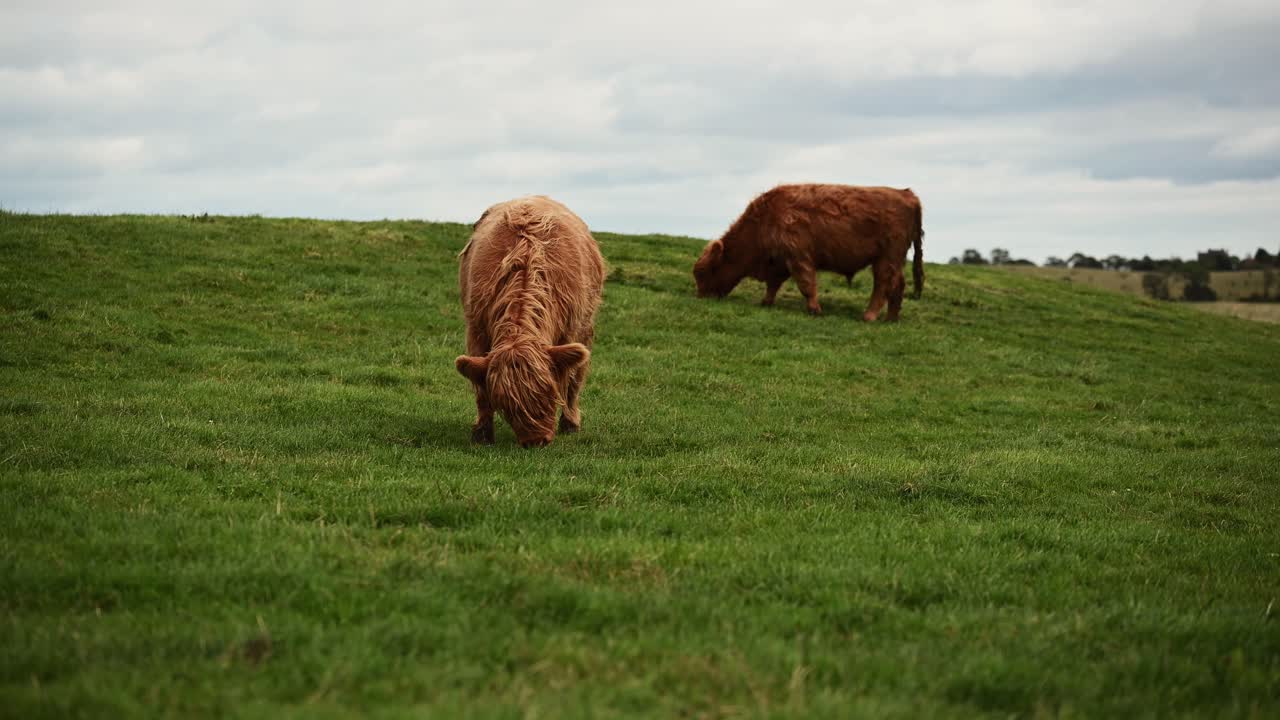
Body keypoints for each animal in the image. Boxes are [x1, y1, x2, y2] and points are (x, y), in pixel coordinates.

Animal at [455, 196, 605, 448]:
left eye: (549, 393)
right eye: (506, 405)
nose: (536, 441)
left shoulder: (570, 332)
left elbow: (568, 378)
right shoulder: (476, 331)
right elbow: (481, 389)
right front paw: (482, 433)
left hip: (586, 326)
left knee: (577, 378)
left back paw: (571, 423)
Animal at [693, 184, 924, 321]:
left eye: (704, 272)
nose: (701, 297)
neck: (765, 219)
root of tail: (906, 194)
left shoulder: (798, 258)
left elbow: (806, 285)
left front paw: (814, 309)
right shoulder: (779, 262)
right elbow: (773, 284)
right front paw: (766, 302)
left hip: (886, 259)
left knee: (883, 284)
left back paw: (869, 316)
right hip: (893, 260)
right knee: (898, 285)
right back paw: (891, 318)